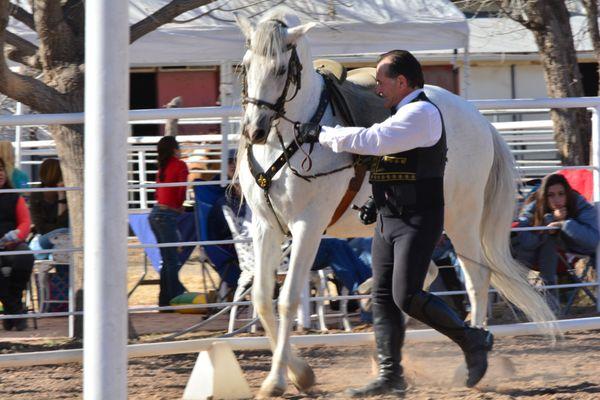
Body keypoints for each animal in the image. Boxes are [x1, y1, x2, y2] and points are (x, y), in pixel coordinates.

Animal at [236, 10, 556, 398]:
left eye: (282, 69)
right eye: (246, 65)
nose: (254, 130)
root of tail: (478, 119)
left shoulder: (307, 226)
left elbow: (287, 299)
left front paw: (279, 380)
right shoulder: (265, 225)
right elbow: (261, 299)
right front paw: (300, 373)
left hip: (462, 219)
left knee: (476, 280)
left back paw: (472, 362)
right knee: (419, 279)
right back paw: (386, 351)